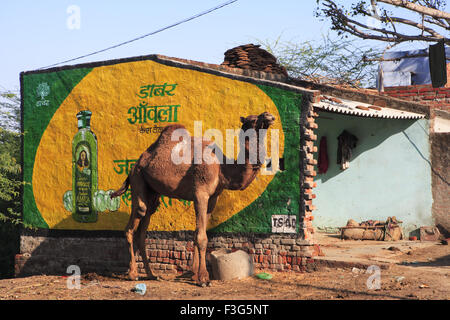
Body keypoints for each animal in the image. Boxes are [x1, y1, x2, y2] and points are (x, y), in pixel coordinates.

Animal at [110, 111, 276, 286]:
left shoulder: (213, 198)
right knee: (134, 222)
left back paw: (151, 274)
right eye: (253, 119)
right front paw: (203, 278)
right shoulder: (200, 193)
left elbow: (198, 233)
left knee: (144, 227)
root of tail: (135, 165)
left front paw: (194, 275)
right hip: (138, 178)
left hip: (152, 192)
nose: (269, 116)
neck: (222, 168)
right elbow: (201, 237)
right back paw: (133, 274)